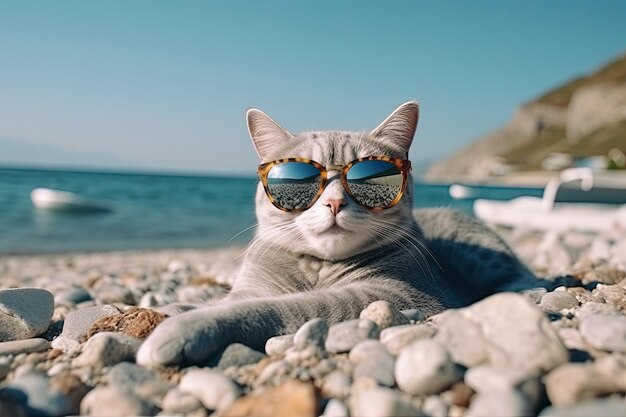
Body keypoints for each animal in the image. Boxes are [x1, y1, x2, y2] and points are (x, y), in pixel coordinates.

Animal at [138, 101, 536, 368]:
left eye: (368, 178)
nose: (333, 202)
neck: (316, 267)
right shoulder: (251, 286)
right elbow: (210, 301)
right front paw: (162, 311)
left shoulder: (395, 295)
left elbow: (272, 307)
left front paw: (184, 328)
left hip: (477, 253)